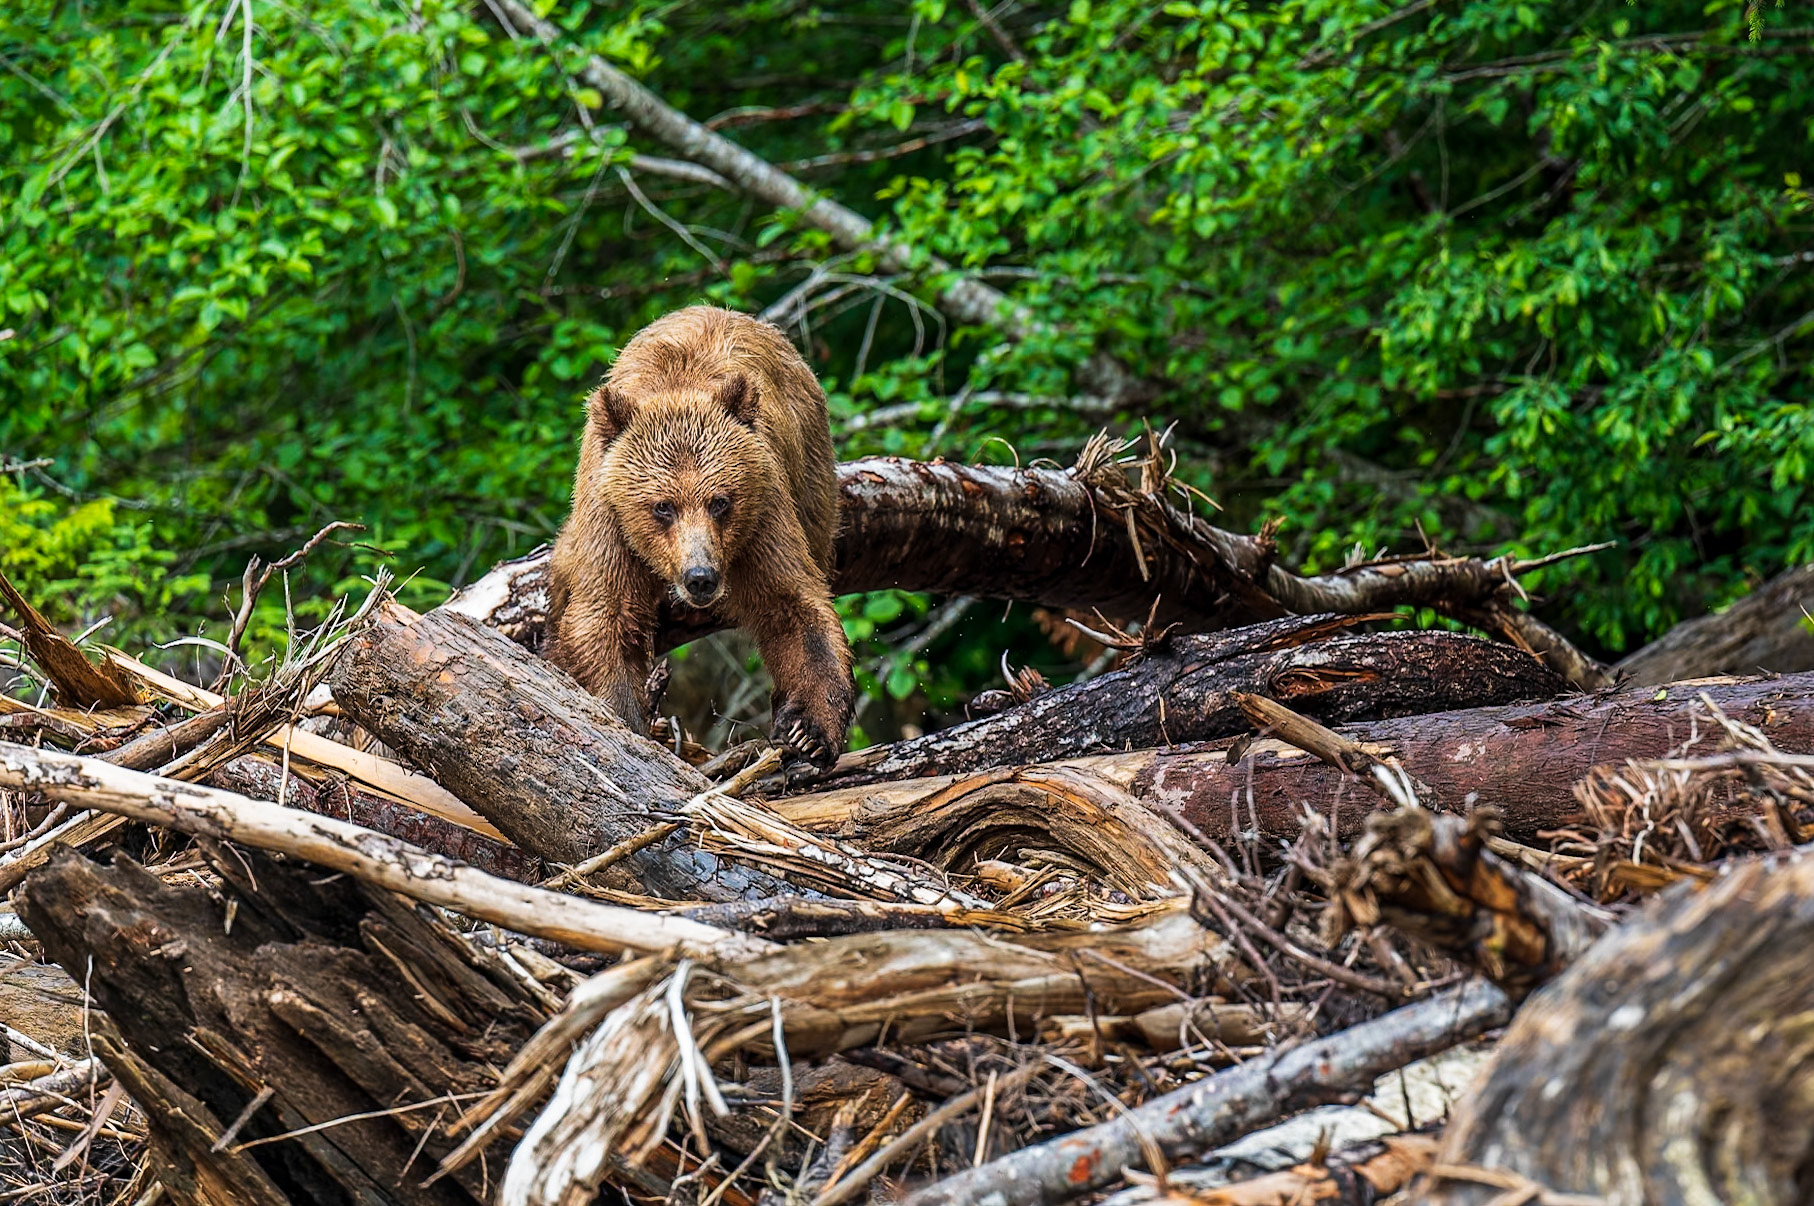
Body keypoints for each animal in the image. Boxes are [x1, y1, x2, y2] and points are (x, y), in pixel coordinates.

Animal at [544, 305, 856, 768]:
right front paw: (625, 717)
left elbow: (791, 603)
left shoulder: (763, 510)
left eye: (720, 501)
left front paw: (809, 730)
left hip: (811, 475)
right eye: (663, 506)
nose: (700, 577)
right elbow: (606, 611)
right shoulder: (610, 520)